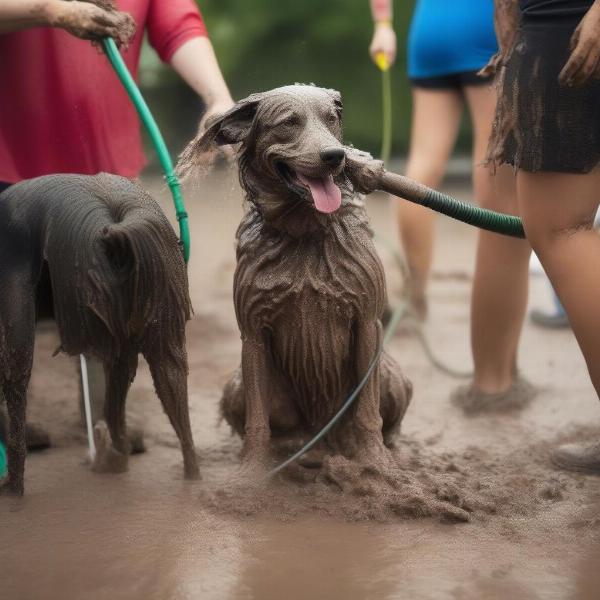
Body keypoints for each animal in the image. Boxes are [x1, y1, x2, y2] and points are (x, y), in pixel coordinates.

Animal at [178, 84, 412, 472]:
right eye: (288, 122)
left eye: (331, 118)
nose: (334, 156)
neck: (305, 230)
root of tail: (322, 435)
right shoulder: (253, 333)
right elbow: (257, 420)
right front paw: (252, 471)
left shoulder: (367, 322)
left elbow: (368, 412)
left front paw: (377, 464)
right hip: (236, 386)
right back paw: (292, 451)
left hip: (394, 376)